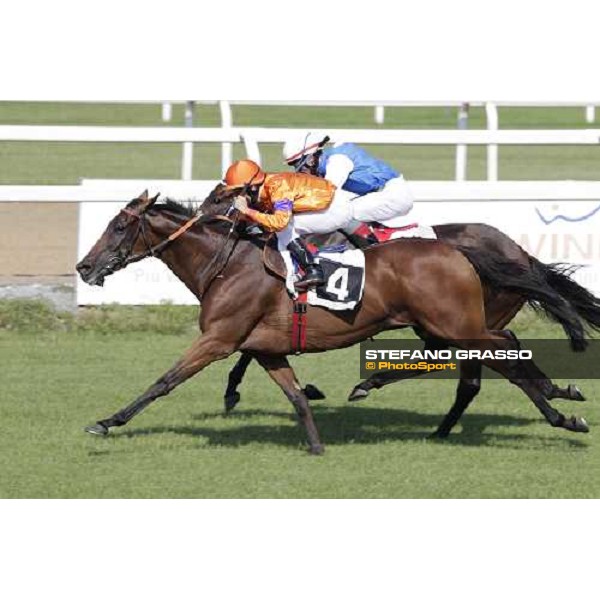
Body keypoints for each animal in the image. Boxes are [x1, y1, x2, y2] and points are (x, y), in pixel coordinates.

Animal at [76, 189, 592, 454]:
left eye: (119, 226)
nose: (84, 266)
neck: (227, 263)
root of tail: (460, 250)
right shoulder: (265, 347)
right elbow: (295, 396)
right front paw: (316, 444)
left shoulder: (219, 339)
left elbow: (165, 380)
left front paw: (107, 421)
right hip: (449, 324)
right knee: (493, 355)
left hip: (454, 324)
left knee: (500, 355)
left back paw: (561, 410)